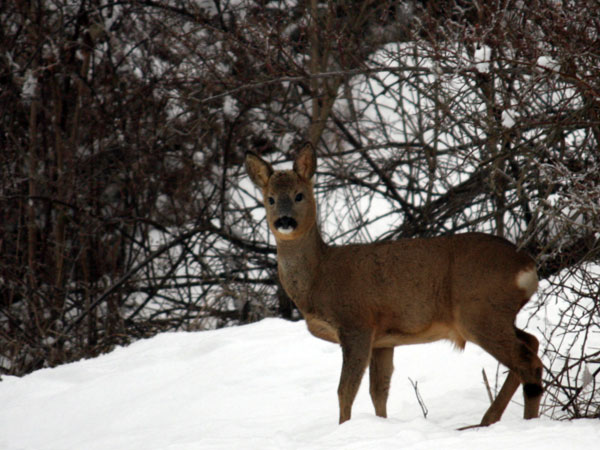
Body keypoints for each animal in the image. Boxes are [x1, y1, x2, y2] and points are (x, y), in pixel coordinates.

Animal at [244, 144, 544, 426]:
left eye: (299, 195)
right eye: (270, 199)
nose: (284, 221)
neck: (319, 276)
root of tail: (527, 266)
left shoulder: (357, 324)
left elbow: (345, 390)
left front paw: (344, 429)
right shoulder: (383, 340)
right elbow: (379, 390)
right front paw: (380, 424)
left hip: (479, 312)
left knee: (527, 363)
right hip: (495, 314)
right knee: (532, 343)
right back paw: (487, 420)